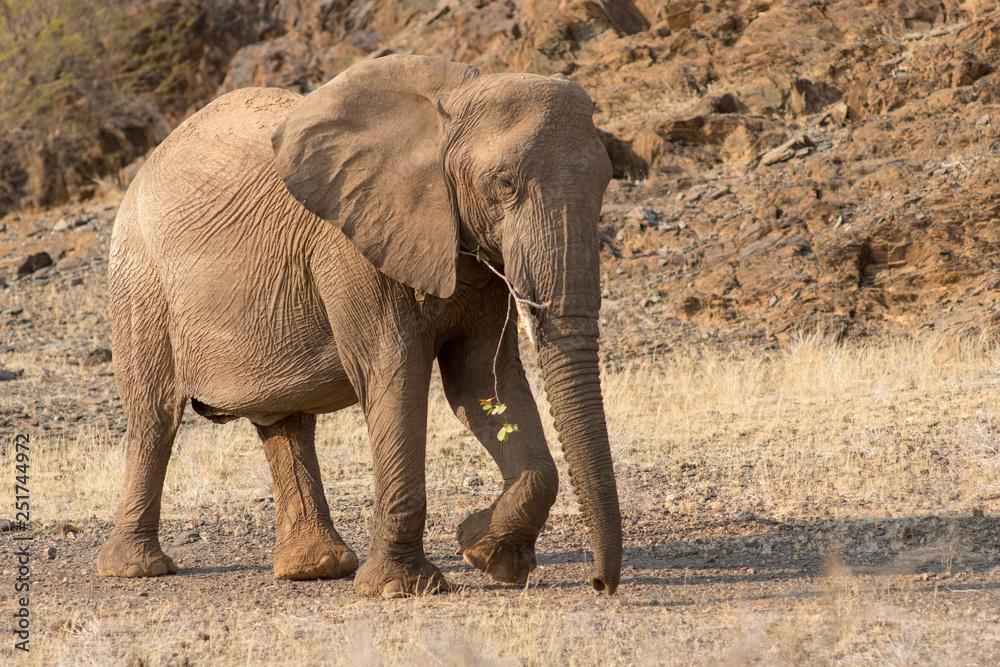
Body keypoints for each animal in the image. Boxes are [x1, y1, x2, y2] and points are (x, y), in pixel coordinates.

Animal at [97, 54, 622, 598]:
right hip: (139, 278)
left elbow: (480, 381)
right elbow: (395, 373)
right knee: (155, 415)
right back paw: (136, 569)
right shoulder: (351, 246)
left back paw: (316, 568)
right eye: (504, 184)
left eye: (607, 182)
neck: (448, 103)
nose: (600, 584)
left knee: (284, 420)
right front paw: (401, 589)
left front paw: (484, 553)